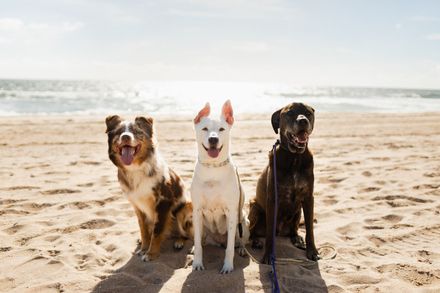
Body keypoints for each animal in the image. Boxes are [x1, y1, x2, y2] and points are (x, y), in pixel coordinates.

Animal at [107, 114, 190, 260]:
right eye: (119, 132)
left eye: (136, 132)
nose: (125, 137)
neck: (136, 168)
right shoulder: (137, 206)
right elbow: (144, 230)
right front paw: (144, 248)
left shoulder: (163, 202)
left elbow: (157, 231)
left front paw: (150, 254)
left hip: (184, 209)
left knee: (187, 234)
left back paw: (179, 241)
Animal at [191, 99, 249, 272]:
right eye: (205, 128)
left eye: (222, 129)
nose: (213, 139)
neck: (213, 168)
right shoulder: (197, 211)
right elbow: (198, 244)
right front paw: (197, 263)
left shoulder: (231, 212)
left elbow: (230, 248)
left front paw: (228, 266)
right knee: (201, 241)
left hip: (244, 221)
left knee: (239, 240)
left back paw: (242, 249)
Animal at [249, 101, 318, 262]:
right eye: (290, 113)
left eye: (308, 113)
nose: (303, 121)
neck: (295, 157)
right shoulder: (272, 199)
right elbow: (269, 235)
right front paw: (268, 255)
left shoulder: (308, 198)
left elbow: (310, 229)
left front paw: (312, 250)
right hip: (254, 207)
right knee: (252, 232)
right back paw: (255, 240)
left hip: (298, 211)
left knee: (293, 229)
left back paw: (297, 238)